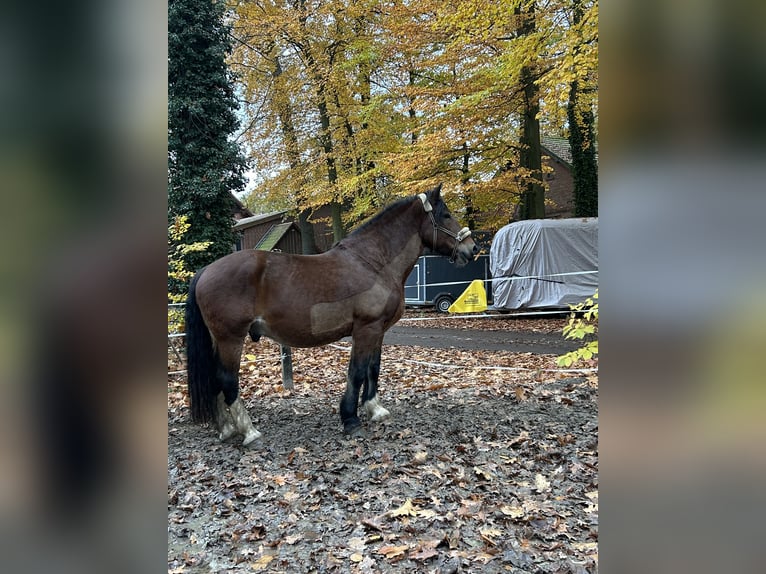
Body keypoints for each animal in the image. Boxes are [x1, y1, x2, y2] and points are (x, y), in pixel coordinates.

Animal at [186, 184, 476, 446]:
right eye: (446, 214)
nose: (472, 249)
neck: (373, 263)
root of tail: (205, 271)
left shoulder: (378, 330)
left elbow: (373, 368)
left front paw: (375, 409)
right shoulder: (366, 328)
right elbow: (357, 372)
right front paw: (351, 420)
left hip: (219, 340)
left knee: (215, 381)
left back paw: (226, 430)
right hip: (231, 339)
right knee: (227, 381)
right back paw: (249, 433)